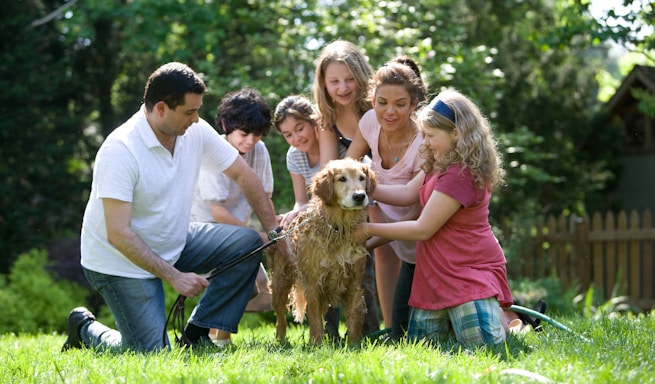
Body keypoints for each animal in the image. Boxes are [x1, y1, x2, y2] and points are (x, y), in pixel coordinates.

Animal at [268, 158, 376, 344]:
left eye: (362, 178)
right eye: (342, 179)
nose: (360, 196)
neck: (339, 229)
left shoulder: (354, 282)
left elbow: (354, 317)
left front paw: (354, 344)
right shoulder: (313, 284)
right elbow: (314, 319)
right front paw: (316, 344)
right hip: (280, 283)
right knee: (280, 317)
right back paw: (281, 341)